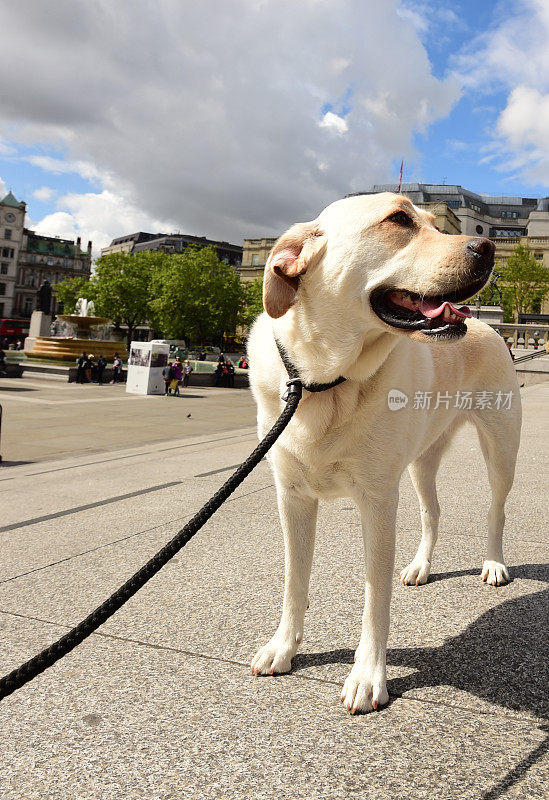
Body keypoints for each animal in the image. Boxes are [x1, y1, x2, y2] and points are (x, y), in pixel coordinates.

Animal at [246, 192, 520, 712]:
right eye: (398, 220)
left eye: (437, 223)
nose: (489, 247)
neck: (325, 381)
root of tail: (489, 326)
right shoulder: (292, 497)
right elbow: (294, 579)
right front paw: (283, 647)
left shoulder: (377, 500)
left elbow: (375, 598)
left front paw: (367, 676)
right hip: (420, 461)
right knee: (432, 511)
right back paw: (419, 567)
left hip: (501, 449)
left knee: (496, 510)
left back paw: (493, 564)